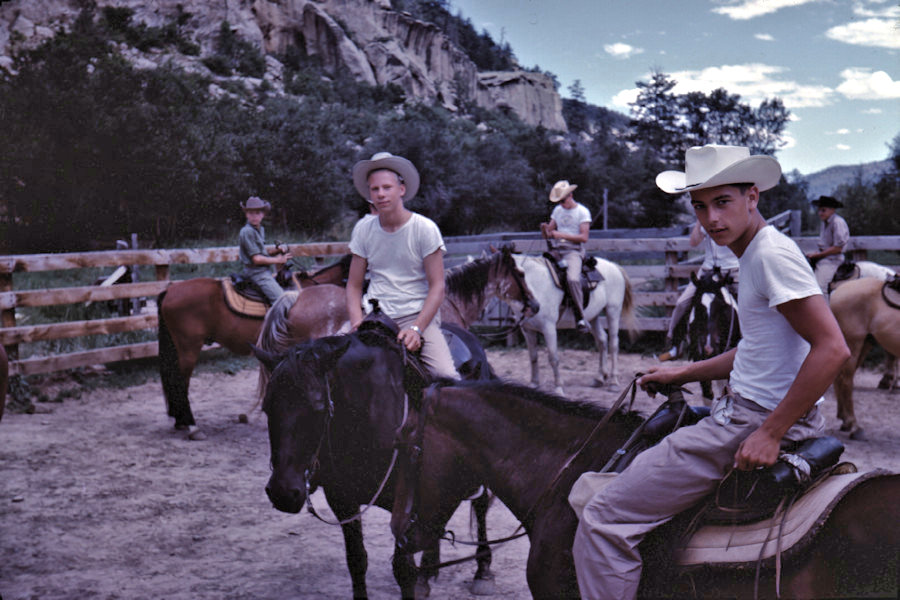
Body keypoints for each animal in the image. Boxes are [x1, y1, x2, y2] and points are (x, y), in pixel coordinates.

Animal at [828, 276, 900, 440]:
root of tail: (838, 290)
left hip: (865, 343)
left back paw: (844, 420)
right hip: (853, 343)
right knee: (846, 380)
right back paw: (853, 425)